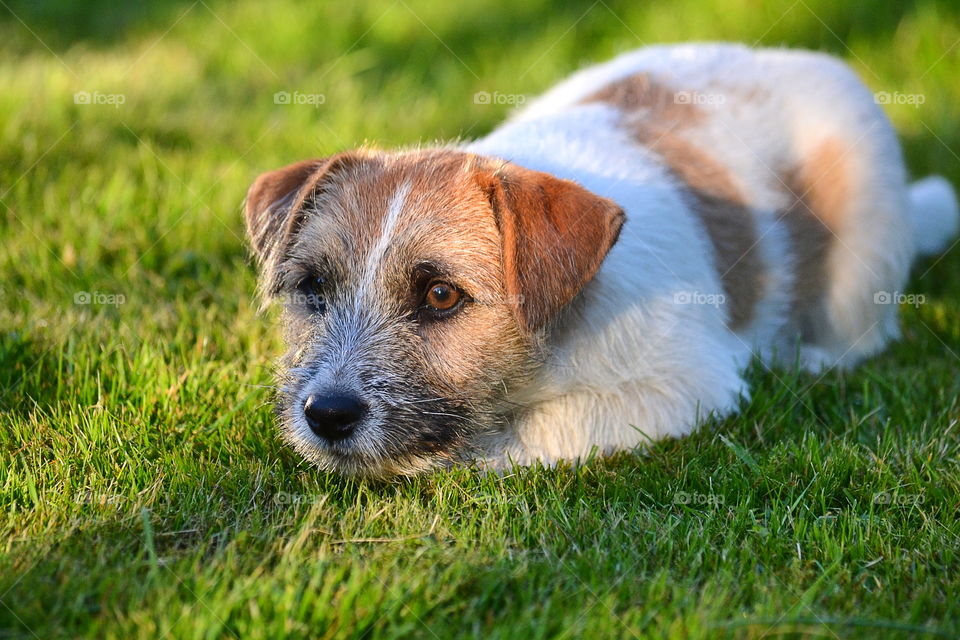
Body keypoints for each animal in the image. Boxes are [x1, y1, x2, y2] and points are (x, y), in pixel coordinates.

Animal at [244, 43, 956, 476]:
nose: (326, 416)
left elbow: (528, 432)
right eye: (313, 287)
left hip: (863, 257)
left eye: (441, 296)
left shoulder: (683, 387)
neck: (557, 332)